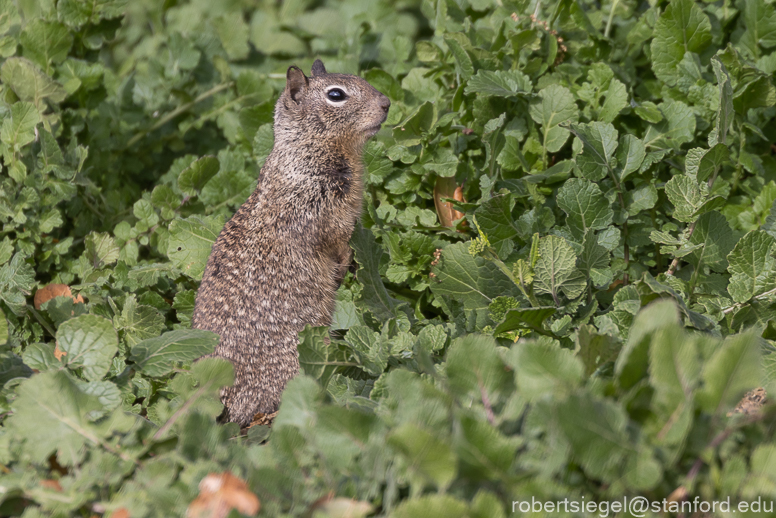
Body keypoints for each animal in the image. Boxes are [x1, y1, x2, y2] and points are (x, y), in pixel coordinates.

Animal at [192, 60, 392, 426]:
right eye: (336, 95)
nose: (386, 103)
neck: (307, 148)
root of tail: (225, 405)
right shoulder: (317, 216)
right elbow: (333, 242)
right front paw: (343, 265)